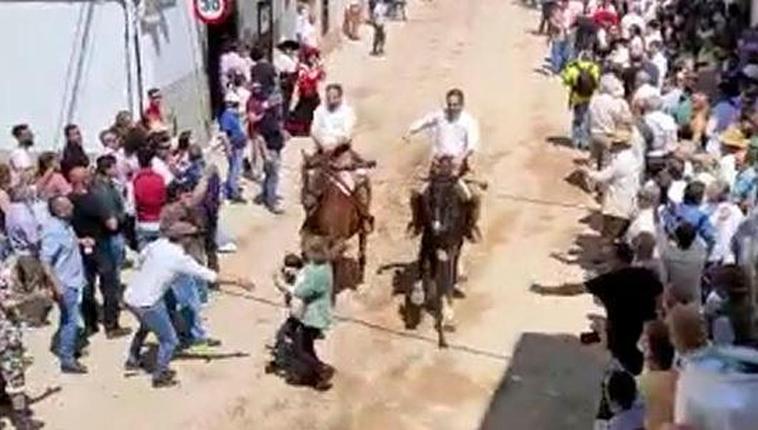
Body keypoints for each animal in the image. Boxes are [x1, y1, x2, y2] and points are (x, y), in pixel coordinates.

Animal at [410, 165, 470, 350]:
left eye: (448, 202)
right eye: (428, 202)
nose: (436, 228)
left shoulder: (451, 245)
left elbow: (448, 278)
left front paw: (447, 318)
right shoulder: (431, 243)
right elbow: (431, 270)